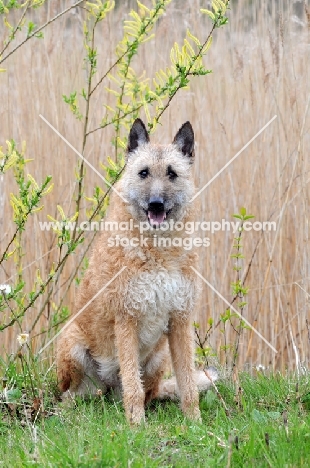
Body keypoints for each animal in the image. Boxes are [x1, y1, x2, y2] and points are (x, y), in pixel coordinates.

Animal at [57, 119, 216, 424]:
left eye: (172, 174)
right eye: (144, 173)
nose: (156, 204)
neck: (158, 252)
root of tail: (107, 389)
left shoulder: (180, 321)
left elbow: (188, 383)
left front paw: (195, 422)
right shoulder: (126, 321)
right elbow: (133, 386)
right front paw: (136, 426)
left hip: (159, 358)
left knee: (149, 391)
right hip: (72, 345)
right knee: (71, 394)